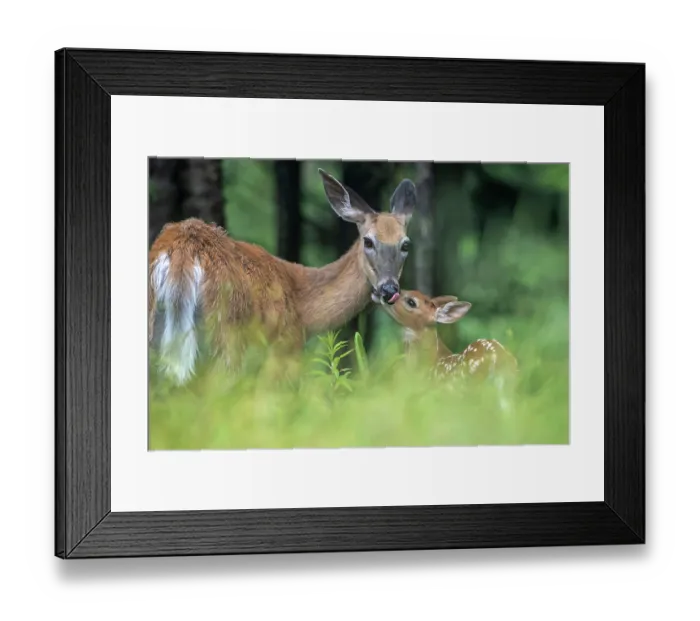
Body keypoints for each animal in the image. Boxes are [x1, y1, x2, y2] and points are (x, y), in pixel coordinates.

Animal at [148, 168, 416, 385]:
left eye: (405, 244)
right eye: (368, 241)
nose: (389, 290)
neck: (304, 310)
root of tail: (184, 246)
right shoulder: (286, 346)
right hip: (226, 329)